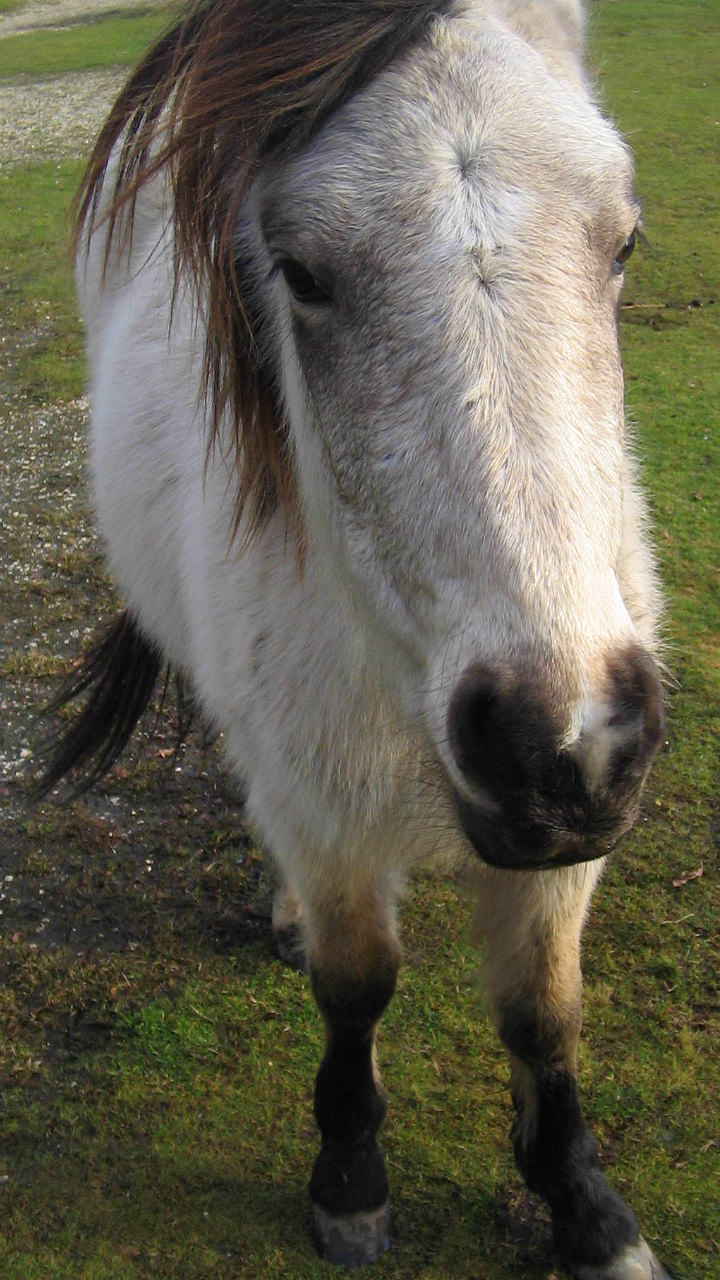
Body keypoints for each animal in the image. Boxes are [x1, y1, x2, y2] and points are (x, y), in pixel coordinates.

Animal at [38, 1, 673, 1275]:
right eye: (301, 273)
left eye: (623, 241)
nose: (561, 743)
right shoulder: (321, 801)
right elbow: (356, 983)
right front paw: (349, 1181)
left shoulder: (568, 841)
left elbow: (543, 1008)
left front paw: (585, 1208)